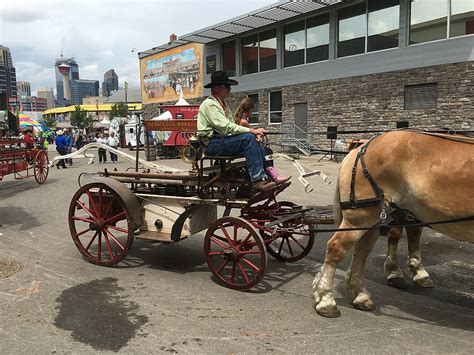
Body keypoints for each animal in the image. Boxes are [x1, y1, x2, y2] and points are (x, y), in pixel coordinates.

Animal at [312, 130, 472, 318]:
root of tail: (362, 147)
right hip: (361, 216)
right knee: (336, 247)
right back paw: (326, 300)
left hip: (377, 216)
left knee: (362, 251)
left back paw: (360, 295)